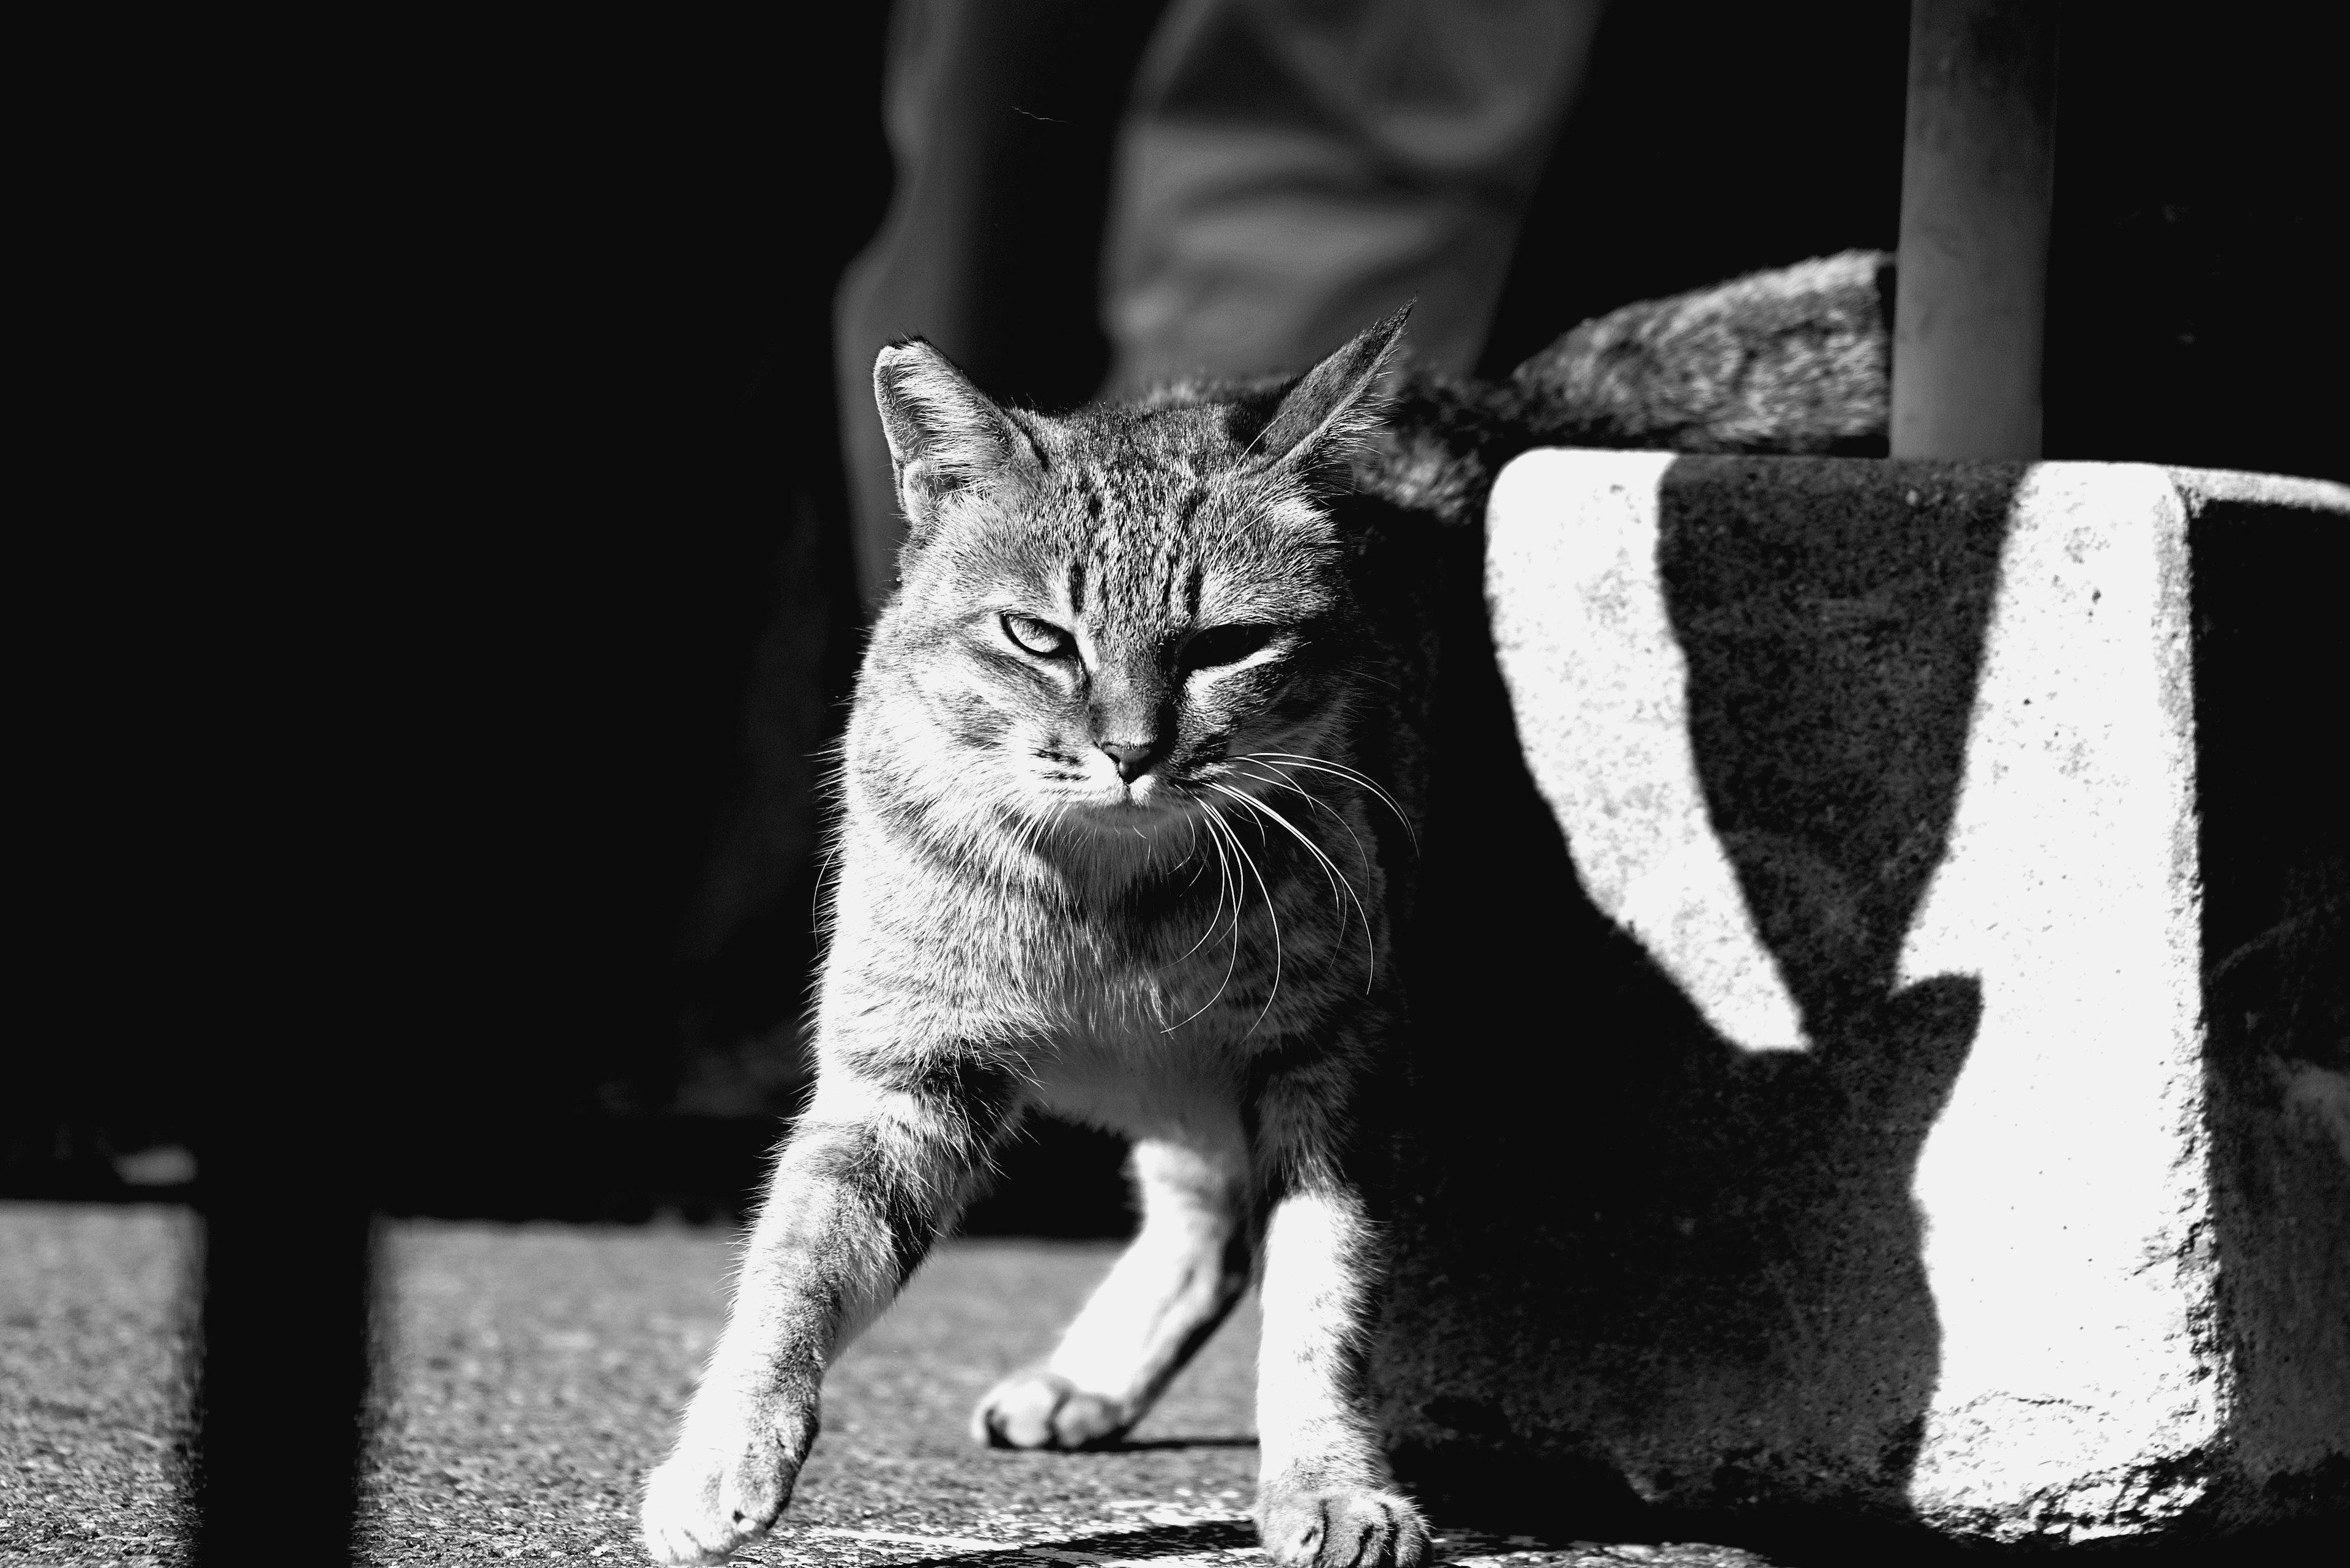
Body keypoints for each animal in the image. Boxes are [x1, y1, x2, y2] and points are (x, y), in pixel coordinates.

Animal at [639, 248, 1889, 1568]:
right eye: (1040, 637)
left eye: (1224, 645)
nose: (1132, 750)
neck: (1111, 897)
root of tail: (1481, 396)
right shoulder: (907, 1066)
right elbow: (799, 1262)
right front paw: (725, 1453)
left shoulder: (1330, 1064)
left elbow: (1317, 1294)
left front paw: (1328, 1480)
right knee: (1198, 1214)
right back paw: (1089, 1373)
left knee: (1221, 1226)